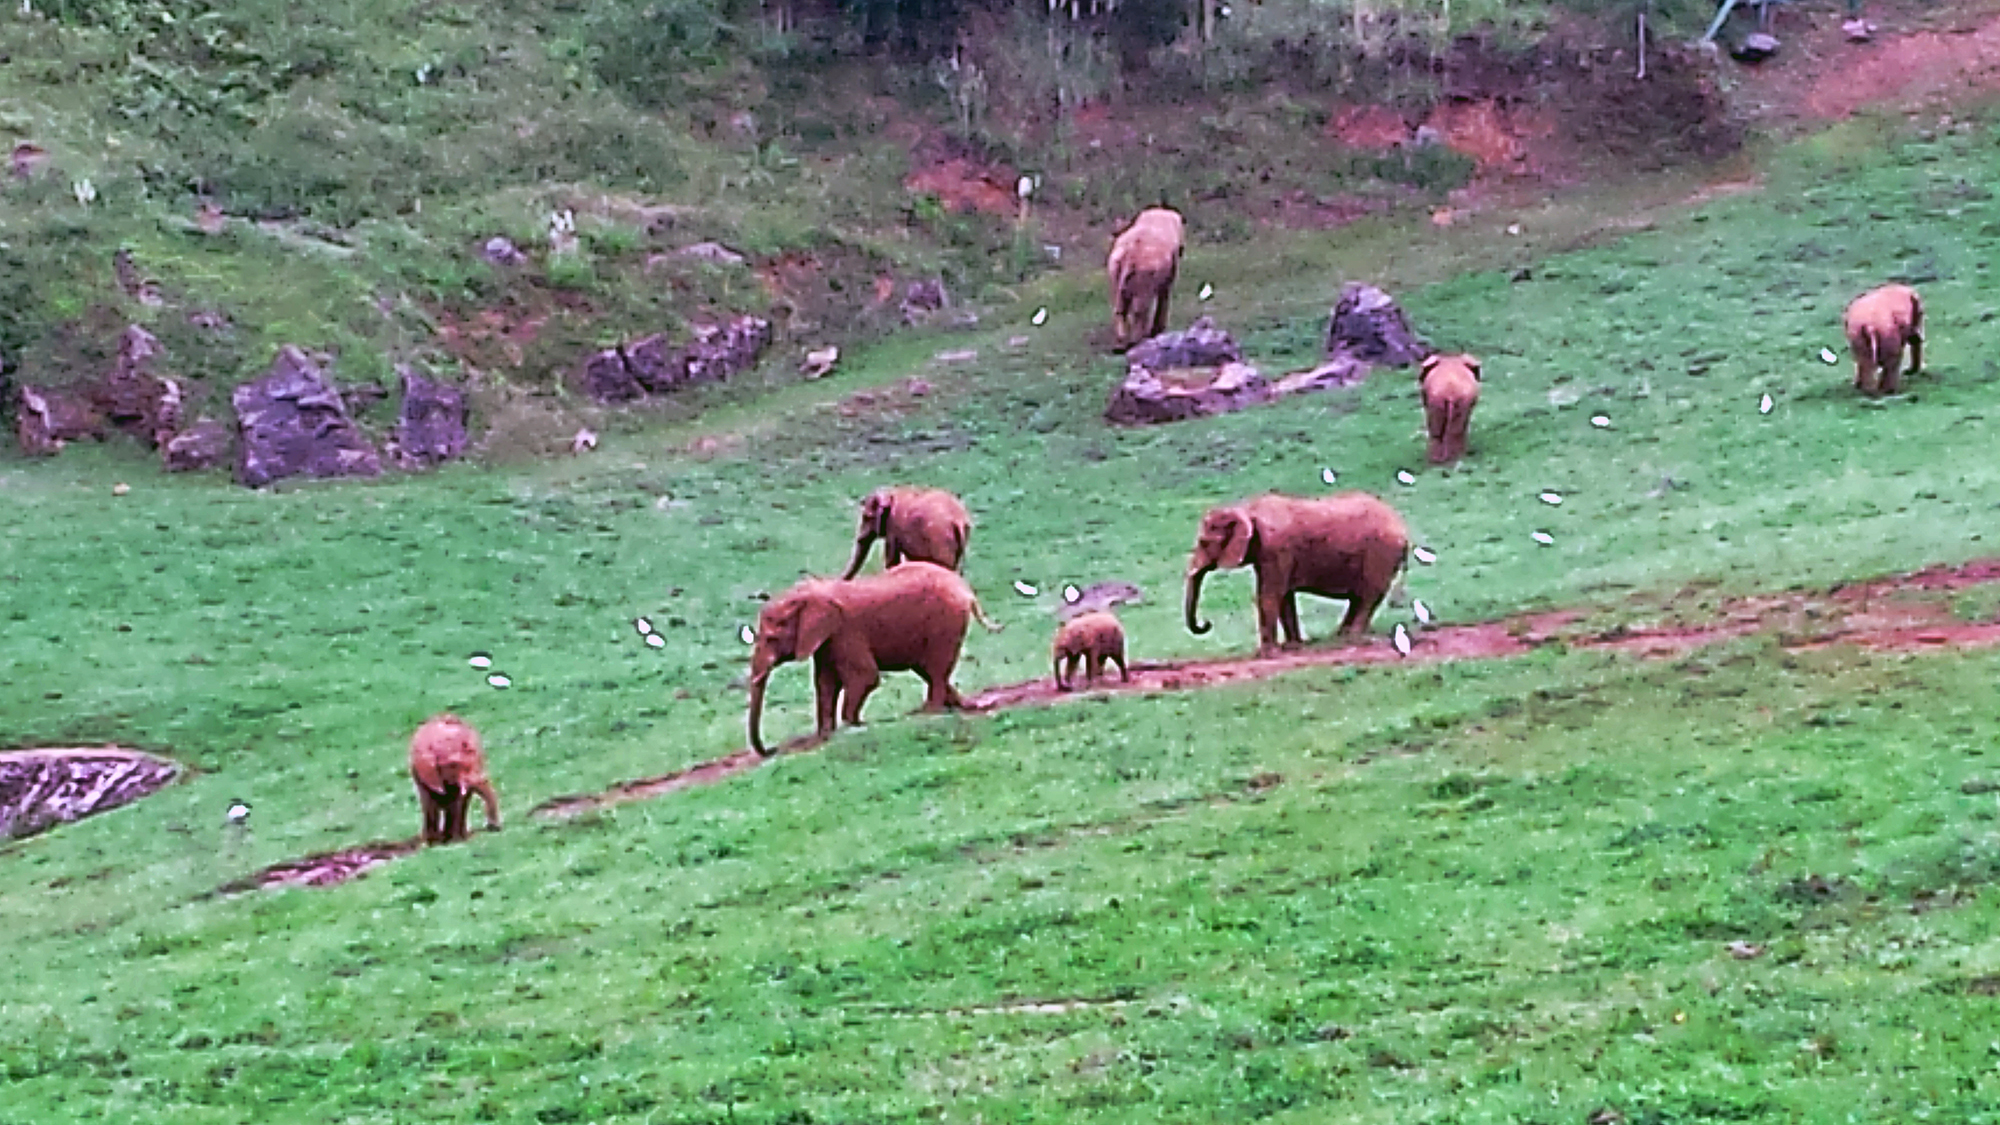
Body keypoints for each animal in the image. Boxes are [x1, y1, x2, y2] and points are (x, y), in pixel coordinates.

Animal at [406, 708, 500, 840]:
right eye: (453, 765)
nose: (493, 827)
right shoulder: (421, 773)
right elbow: (429, 801)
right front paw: (434, 841)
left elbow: (457, 800)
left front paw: (454, 839)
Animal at [840, 484, 972, 576]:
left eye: (866, 517)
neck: (891, 492)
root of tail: (958, 521)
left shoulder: (893, 527)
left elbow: (892, 561)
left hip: (940, 540)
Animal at [1112, 206, 1184, 350]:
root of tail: (1130, 255)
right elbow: (1165, 292)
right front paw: (1158, 331)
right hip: (1143, 275)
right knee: (1139, 308)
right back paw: (1137, 341)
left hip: (1116, 270)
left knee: (1120, 307)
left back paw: (1120, 345)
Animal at [1176, 488, 1416, 648]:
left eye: (1204, 543)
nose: (1206, 623)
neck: (1246, 508)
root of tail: (1402, 527)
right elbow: (1284, 596)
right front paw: (1293, 646)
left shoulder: (1276, 549)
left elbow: (1270, 595)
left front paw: (1267, 652)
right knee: (1361, 597)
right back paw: (1340, 636)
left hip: (1381, 554)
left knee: (1368, 596)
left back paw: (1350, 638)